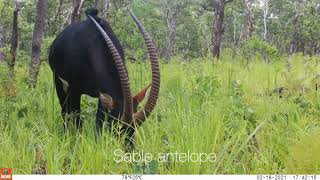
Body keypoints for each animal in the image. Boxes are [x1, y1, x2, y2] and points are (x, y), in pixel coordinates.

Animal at [48, 8, 160, 143]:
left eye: (134, 127)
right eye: (118, 126)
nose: (129, 147)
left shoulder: (103, 95)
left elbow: (99, 122)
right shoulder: (75, 90)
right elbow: (77, 118)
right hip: (59, 82)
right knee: (66, 112)